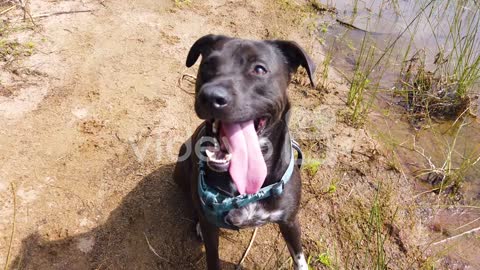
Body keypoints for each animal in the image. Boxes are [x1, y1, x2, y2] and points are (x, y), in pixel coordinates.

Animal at [174, 34, 316, 268]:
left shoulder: (290, 221)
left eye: (259, 69)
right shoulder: (211, 229)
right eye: (208, 64)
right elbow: (212, 258)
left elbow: (299, 258)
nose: (211, 96)